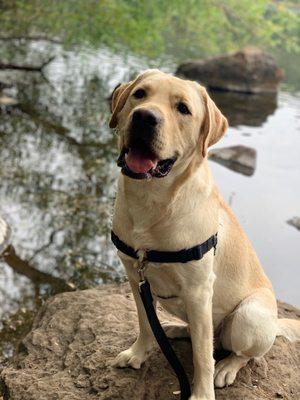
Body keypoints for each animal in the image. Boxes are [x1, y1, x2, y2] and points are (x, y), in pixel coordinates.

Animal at [109, 70, 300, 398]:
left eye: (183, 109)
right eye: (140, 94)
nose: (145, 117)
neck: (152, 202)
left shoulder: (198, 291)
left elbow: (201, 355)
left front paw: (201, 392)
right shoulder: (136, 277)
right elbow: (145, 322)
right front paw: (138, 353)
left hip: (248, 316)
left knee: (238, 351)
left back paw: (227, 367)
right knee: (202, 334)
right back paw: (175, 329)